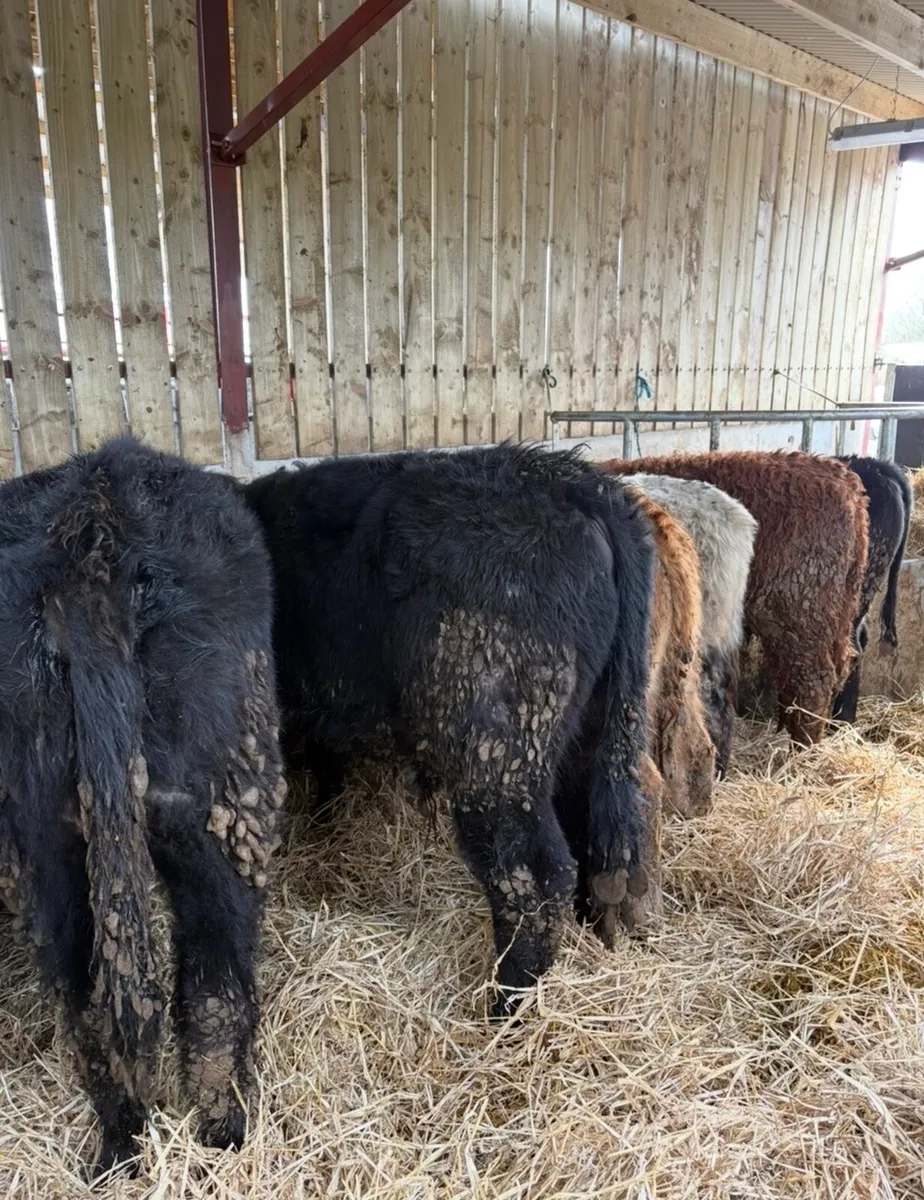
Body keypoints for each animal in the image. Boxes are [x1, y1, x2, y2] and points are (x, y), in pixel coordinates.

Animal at [0, 439, 286, 1176]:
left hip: (49, 841)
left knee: (86, 997)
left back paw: (121, 1148)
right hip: (214, 815)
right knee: (215, 976)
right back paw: (224, 1131)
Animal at [244, 444, 656, 1013]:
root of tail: (570, 482)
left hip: (494, 757)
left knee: (532, 876)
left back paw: (506, 1006)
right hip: (596, 730)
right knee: (605, 845)